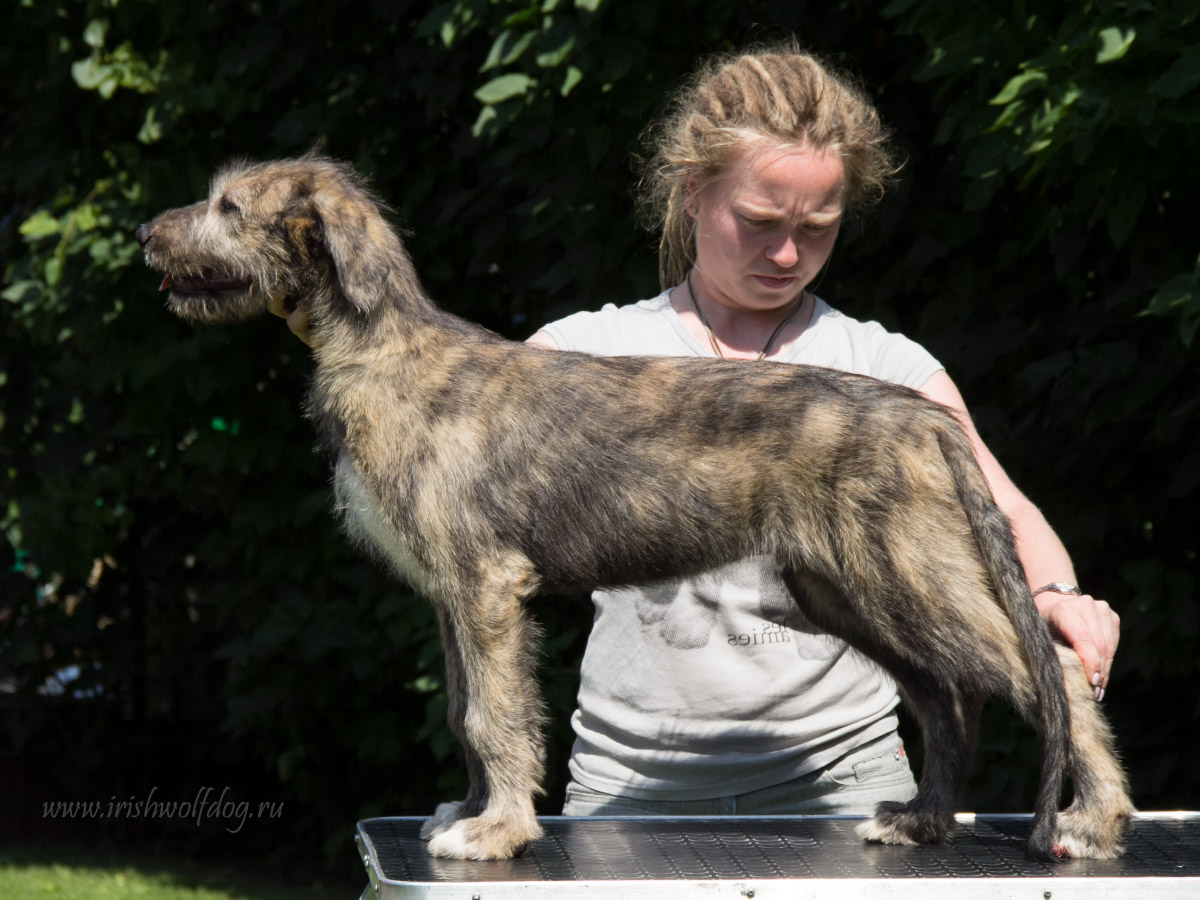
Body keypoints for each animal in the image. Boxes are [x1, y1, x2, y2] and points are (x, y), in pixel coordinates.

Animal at [138, 157, 1132, 868]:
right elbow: (465, 706)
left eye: (228, 206)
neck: (381, 344)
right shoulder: (457, 597)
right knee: (944, 697)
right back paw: (922, 822)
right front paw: (470, 809)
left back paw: (1092, 819)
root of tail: (924, 416)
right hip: (850, 590)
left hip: (909, 573)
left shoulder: (484, 583)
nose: (146, 233)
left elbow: (490, 713)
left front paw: (496, 832)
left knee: (1048, 674)